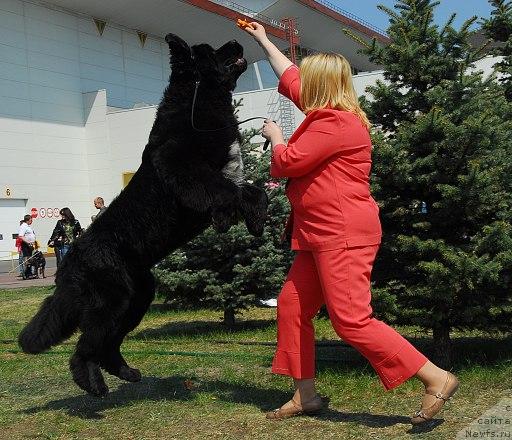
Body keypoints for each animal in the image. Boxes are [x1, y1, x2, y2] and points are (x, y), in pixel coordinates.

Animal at [17, 34, 268, 398]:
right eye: (211, 51)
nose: (236, 40)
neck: (196, 104)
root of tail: (69, 260)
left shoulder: (227, 175)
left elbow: (254, 192)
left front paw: (255, 221)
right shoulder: (185, 171)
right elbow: (227, 192)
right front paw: (231, 218)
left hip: (137, 295)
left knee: (108, 343)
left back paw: (126, 372)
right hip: (111, 299)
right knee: (86, 346)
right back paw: (93, 384)